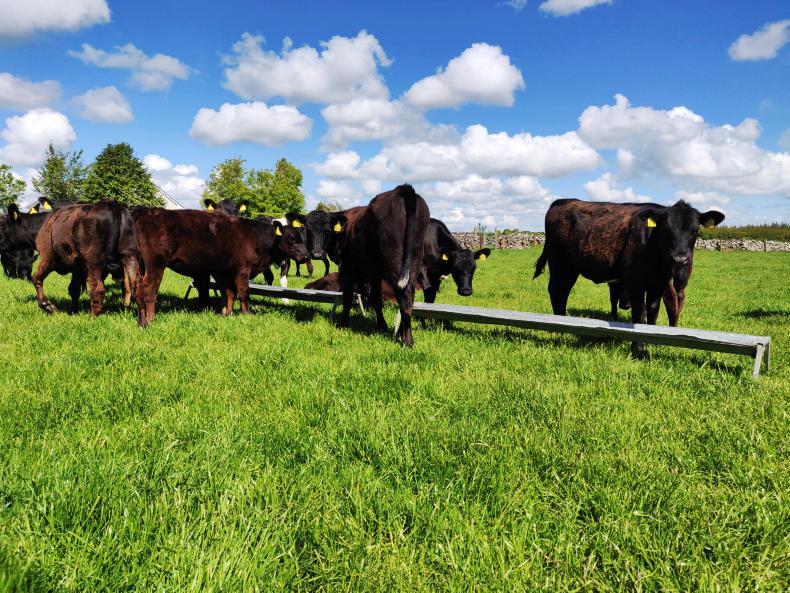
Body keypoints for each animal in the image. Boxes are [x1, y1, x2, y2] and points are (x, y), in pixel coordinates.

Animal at [133, 208, 309, 326]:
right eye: (291, 238)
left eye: (304, 238)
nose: (306, 256)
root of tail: (149, 213)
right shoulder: (242, 269)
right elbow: (244, 292)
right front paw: (247, 314)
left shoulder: (224, 271)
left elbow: (230, 292)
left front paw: (228, 314)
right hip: (155, 264)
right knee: (147, 290)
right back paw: (149, 320)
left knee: (139, 289)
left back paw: (141, 321)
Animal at [336, 184, 430, 347]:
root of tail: (403, 189)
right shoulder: (375, 274)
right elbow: (375, 297)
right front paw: (381, 325)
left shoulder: (348, 267)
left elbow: (347, 295)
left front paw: (343, 324)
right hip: (414, 259)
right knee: (409, 296)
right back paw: (400, 334)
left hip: (394, 260)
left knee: (404, 294)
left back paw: (407, 340)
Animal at [533, 198, 724, 356]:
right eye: (665, 229)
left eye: (695, 230)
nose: (680, 259)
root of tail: (562, 201)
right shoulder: (635, 283)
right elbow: (639, 314)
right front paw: (637, 347)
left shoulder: (659, 284)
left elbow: (653, 311)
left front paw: (651, 341)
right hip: (560, 264)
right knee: (557, 292)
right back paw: (559, 326)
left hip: (569, 268)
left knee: (561, 293)